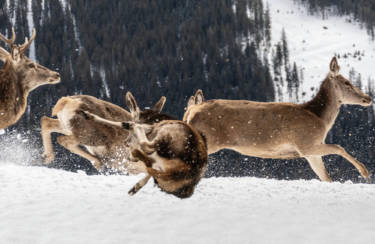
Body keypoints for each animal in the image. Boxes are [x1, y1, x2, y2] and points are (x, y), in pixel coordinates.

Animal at [183, 57, 374, 182]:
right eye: (347, 82)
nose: (368, 98)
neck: (320, 119)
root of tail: (191, 111)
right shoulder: (306, 143)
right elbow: (339, 147)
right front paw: (365, 172)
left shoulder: (310, 152)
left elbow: (325, 177)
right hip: (209, 138)